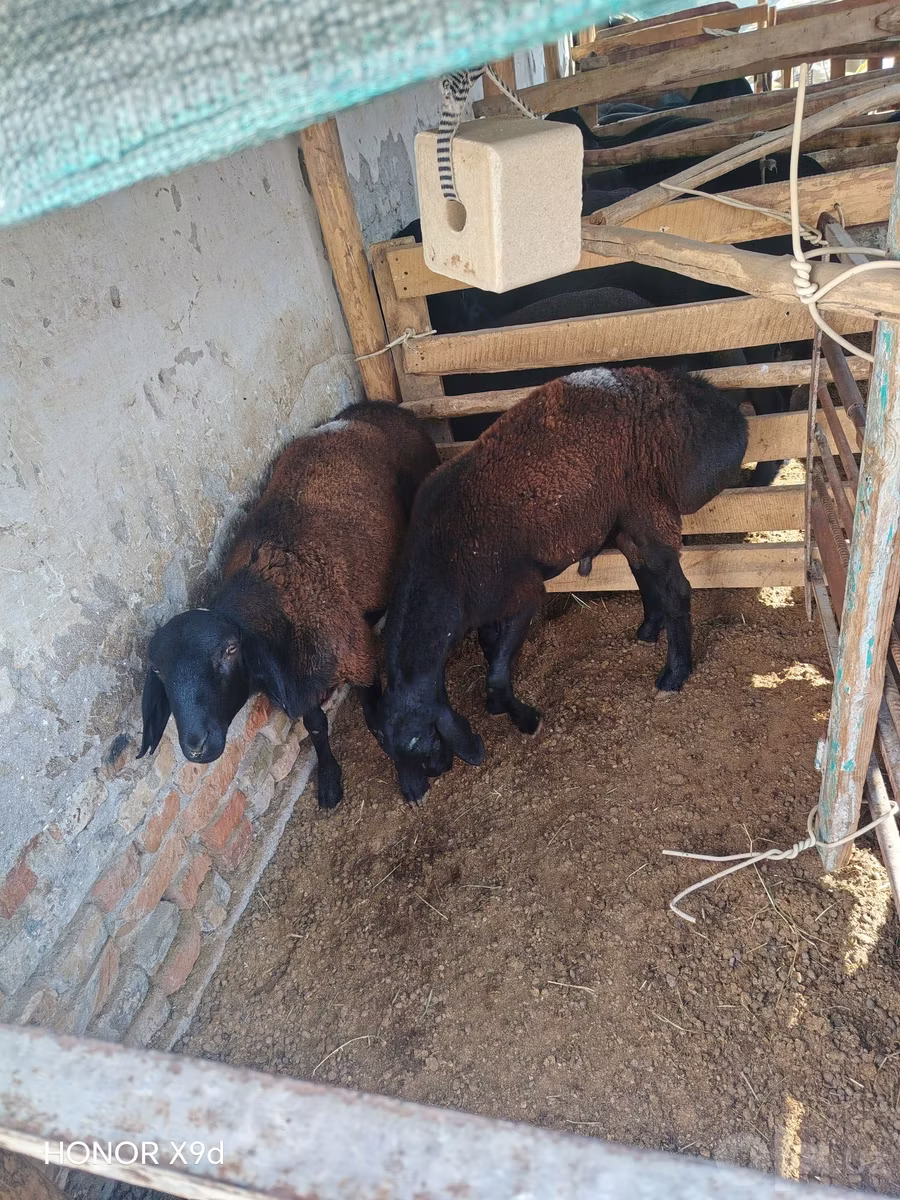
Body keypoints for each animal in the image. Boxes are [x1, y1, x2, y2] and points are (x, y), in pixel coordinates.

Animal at [137, 401, 438, 810]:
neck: (272, 603)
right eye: (158, 671)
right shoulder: (301, 680)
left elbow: (377, 717)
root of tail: (373, 408)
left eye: (229, 650)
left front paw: (410, 778)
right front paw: (329, 781)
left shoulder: (359, 659)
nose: (196, 746)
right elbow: (316, 728)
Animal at [372, 367, 748, 805]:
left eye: (422, 742)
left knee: (677, 590)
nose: (417, 793)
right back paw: (648, 630)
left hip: (650, 508)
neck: (444, 567)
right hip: (624, 515)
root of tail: (698, 394)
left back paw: (674, 674)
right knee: (642, 570)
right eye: (385, 747)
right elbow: (490, 652)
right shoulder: (486, 611)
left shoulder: (522, 594)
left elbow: (497, 673)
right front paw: (499, 705)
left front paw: (523, 718)